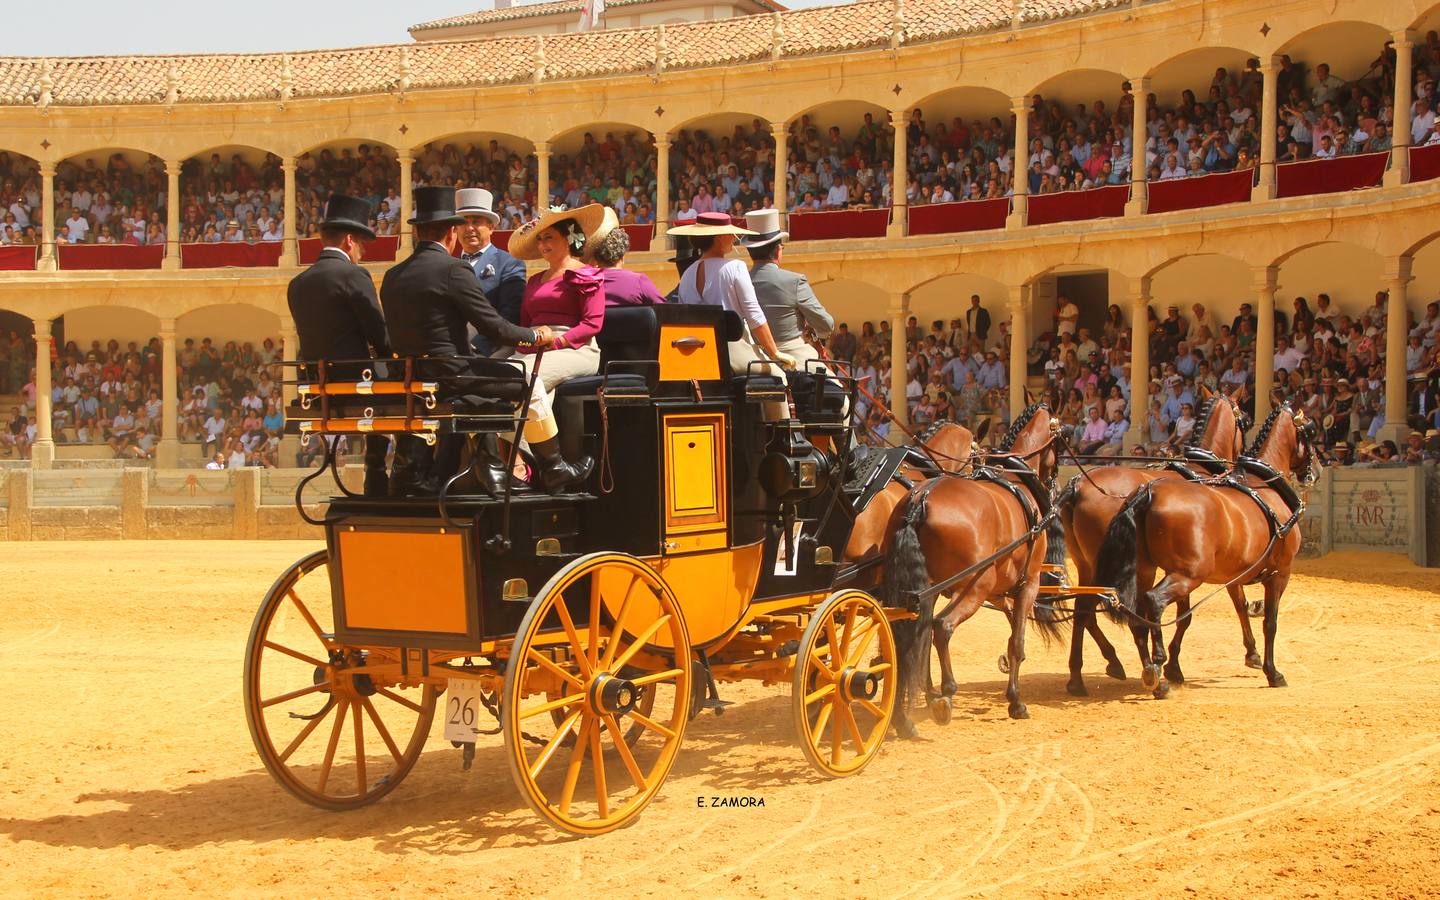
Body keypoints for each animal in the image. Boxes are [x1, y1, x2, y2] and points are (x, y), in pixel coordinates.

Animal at [881, 403, 1065, 734]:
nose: (1054, 481)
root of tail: (920, 500)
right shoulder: (1028, 583)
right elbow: (1017, 640)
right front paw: (1016, 701)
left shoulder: (996, 588)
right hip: (975, 586)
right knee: (942, 627)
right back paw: (945, 695)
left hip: (922, 588)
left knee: (906, 635)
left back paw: (904, 716)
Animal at [1059, 391, 1249, 694]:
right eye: (1244, 419)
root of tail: (1078, 484)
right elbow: (1196, 611)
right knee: (1106, 610)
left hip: (1088, 562)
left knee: (1084, 609)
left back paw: (1083, 675)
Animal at [1088, 403, 1319, 699]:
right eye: (1310, 432)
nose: (1316, 470)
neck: (1264, 485)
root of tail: (1148, 492)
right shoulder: (1280, 573)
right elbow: (1270, 622)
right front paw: (1272, 671)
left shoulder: (1235, 574)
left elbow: (1237, 607)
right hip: (1188, 574)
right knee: (1153, 602)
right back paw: (1154, 666)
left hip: (1144, 569)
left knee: (1135, 614)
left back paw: (1150, 671)